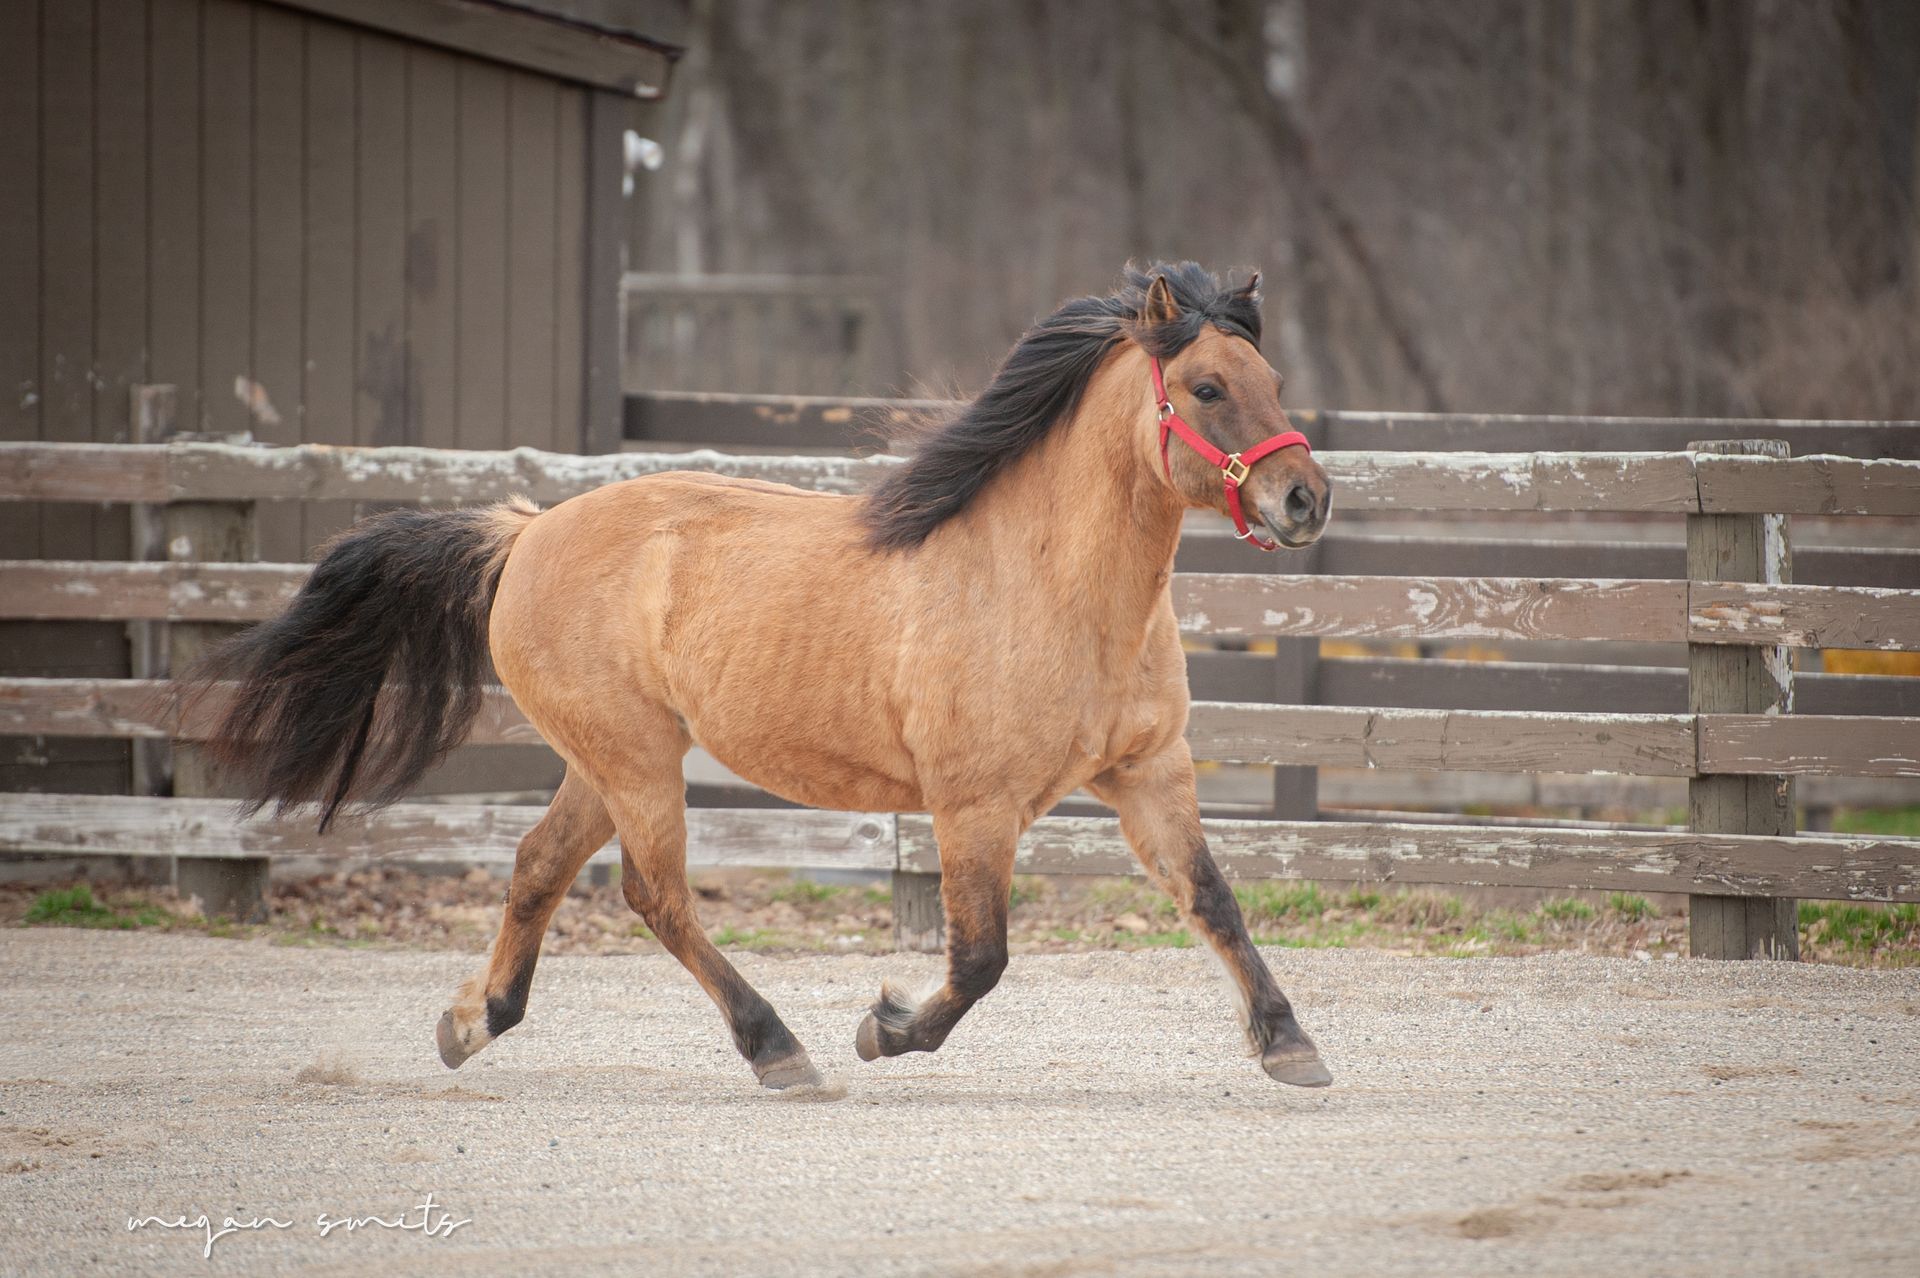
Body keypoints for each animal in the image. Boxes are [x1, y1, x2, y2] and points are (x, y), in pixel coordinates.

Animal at [190, 261, 1335, 1093]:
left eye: (1276, 384)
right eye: (1206, 387)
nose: (1304, 499)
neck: (1050, 583)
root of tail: (523, 533)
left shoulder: (1150, 772)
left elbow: (1213, 899)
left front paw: (1290, 1046)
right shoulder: (974, 806)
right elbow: (980, 959)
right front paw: (881, 1031)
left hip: (604, 760)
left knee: (537, 865)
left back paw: (472, 1024)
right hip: (636, 758)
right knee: (655, 896)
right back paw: (779, 1049)